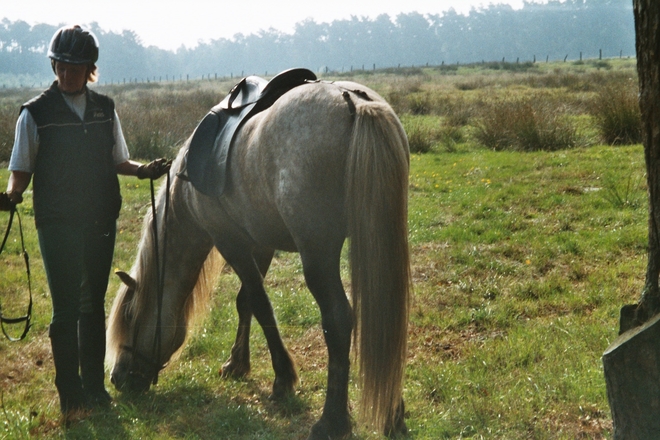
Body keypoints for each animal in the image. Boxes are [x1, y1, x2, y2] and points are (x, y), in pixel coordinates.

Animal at [105, 77, 410, 438]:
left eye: (130, 316)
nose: (117, 378)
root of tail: (355, 102)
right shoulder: (260, 244)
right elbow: (246, 301)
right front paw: (238, 363)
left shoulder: (230, 242)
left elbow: (260, 304)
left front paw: (282, 379)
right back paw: (393, 414)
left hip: (318, 255)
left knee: (337, 320)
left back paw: (331, 420)